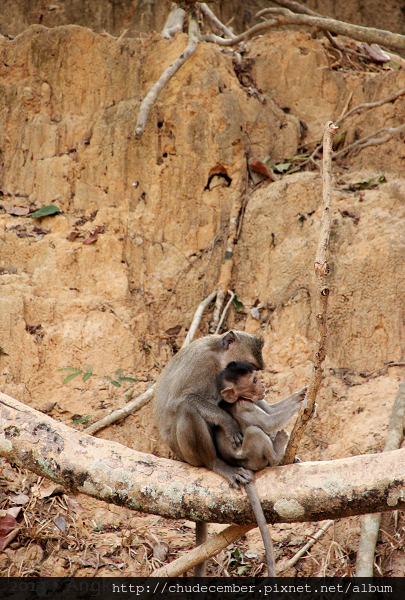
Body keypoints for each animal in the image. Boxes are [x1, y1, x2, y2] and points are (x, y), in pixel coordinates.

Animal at [215, 360, 306, 576]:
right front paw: (302, 404)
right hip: (251, 457)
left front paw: (301, 394)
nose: (263, 385)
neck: (241, 399)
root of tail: (240, 465)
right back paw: (277, 455)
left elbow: (272, 409)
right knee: (256, 431)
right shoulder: (246, 406)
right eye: (254, 380)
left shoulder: (258, 400)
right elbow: (270, 421)